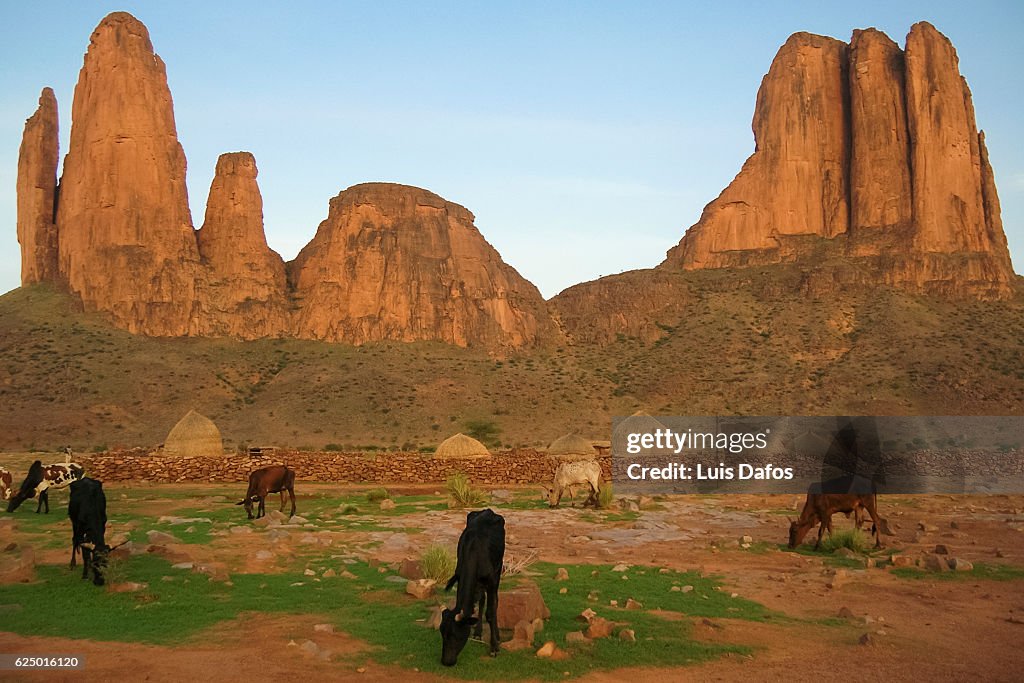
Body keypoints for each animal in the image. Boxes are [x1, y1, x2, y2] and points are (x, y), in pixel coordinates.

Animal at [438, 509, 505, 663]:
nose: (446, 662)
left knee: (495, 601)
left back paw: (497, 635)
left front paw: (494, 647)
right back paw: (478, 632)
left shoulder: (491, 580)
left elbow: (491, 613)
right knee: (481, 600)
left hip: (499, 567)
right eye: (442, 633)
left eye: (455, 635)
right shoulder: (460, 575)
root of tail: (488, 511)